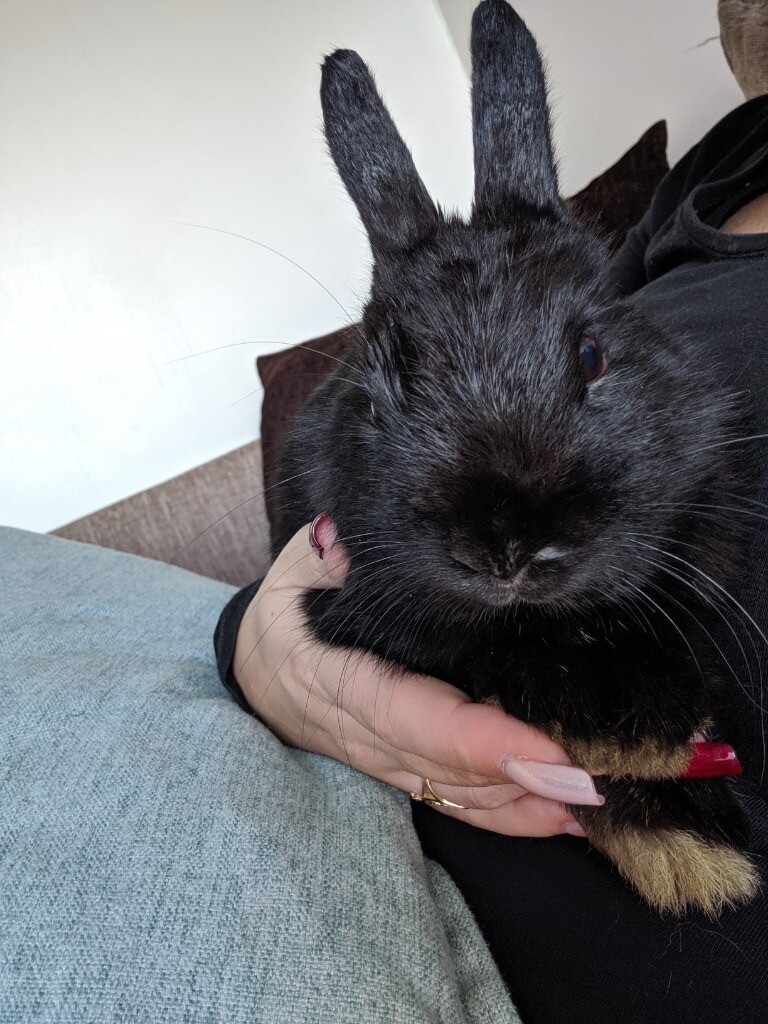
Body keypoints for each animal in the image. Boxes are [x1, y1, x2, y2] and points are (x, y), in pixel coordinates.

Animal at [270, 0, 761, 917]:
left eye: (593, 356)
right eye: (382, 396)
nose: (504, 553)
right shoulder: (361, 599)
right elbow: (488, 648)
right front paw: (663, 794)